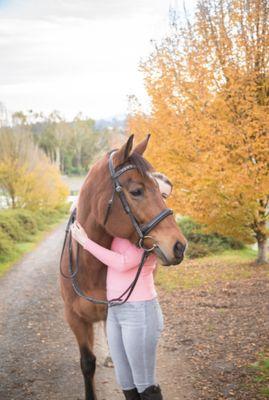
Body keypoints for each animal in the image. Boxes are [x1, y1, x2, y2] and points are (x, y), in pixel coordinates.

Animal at [60, 134, 186, 400]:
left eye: (161, 193)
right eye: (137, 191)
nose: (179, 246)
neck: (88, 268)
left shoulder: (112, 313)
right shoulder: (74, 318)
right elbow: (87, 363)